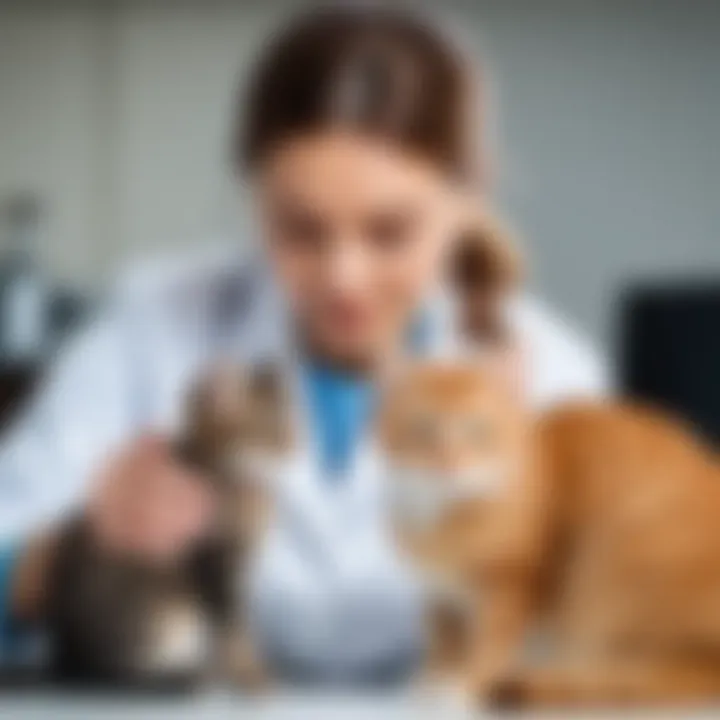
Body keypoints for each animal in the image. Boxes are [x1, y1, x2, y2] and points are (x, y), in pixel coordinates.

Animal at [46, 362, 292, 688]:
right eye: (267, 432)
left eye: (291, 426)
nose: (293, 447)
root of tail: (69, 651)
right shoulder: (212, 567)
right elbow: (234, 633)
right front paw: (252, 677)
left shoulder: (232, 571)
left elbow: (232, 633)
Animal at [376, 362, 720, 704]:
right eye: (423, 429)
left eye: (478, 431)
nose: (448, 464)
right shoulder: (439, 597)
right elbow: (444, 639)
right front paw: (434, 675)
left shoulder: (513, 587)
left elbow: (490, 644)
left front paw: (463, 683)